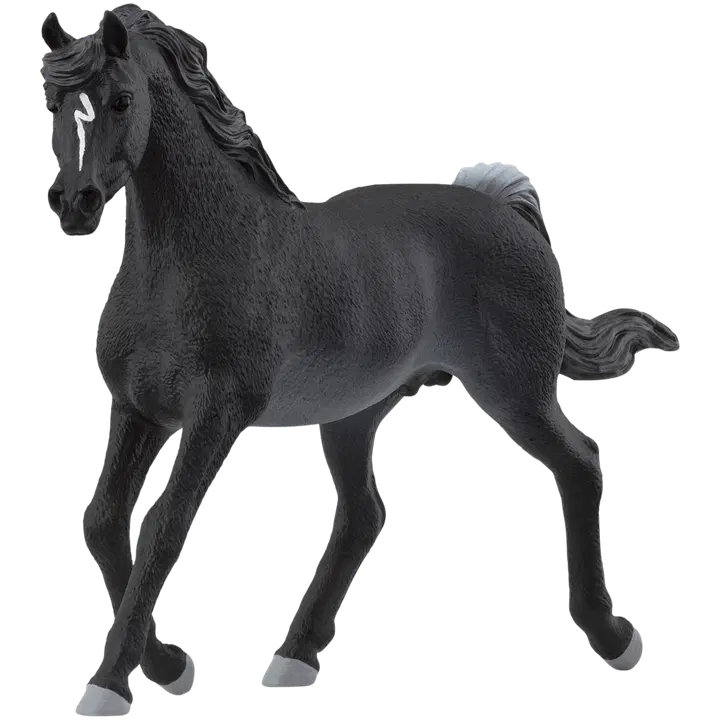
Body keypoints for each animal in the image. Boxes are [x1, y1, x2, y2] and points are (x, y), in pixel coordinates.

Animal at [40, 5, 680, 716]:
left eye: (122, 101)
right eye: (53, 103)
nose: (74, 204)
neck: (188, 261)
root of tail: (507, 210)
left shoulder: (217, 412)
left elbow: (161, 529)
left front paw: (109, 687)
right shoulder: (138, 409)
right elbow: (102, 523)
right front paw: (170, 667)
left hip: (515, 391)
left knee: (579, 462)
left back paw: (615, 639)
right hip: (353, 413)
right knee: (363, 517)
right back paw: (293, 658)